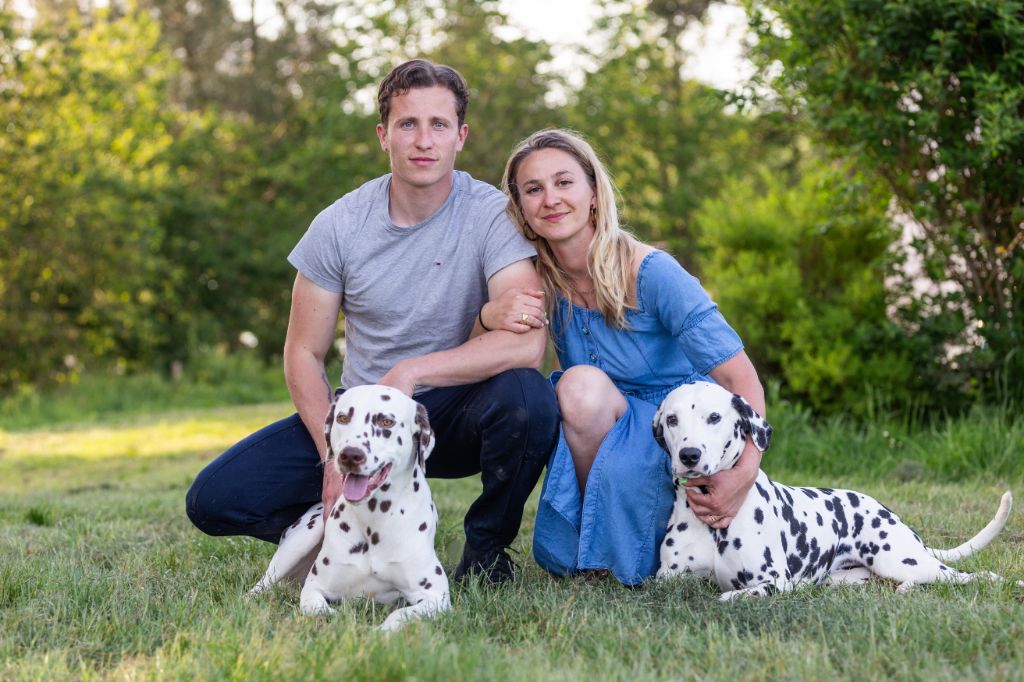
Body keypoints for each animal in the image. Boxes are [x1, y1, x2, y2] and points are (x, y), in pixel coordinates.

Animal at [248, 385, 448, 630]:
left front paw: (380, 632)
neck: (374, 518)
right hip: (302, 539)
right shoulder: (314, 587)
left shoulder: (436, 597)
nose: (351, 455)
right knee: (260, 586)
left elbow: (398, 615)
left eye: (386, 422)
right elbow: (317, 608)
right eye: (343, 418)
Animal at [651, 378, 1019, 598]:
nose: (689, 455)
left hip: (901, 560)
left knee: (976, 575)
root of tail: (893, 517)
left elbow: (735, 594)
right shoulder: (667, 578)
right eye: (672, 420)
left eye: (714, 417)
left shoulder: (775, 580)